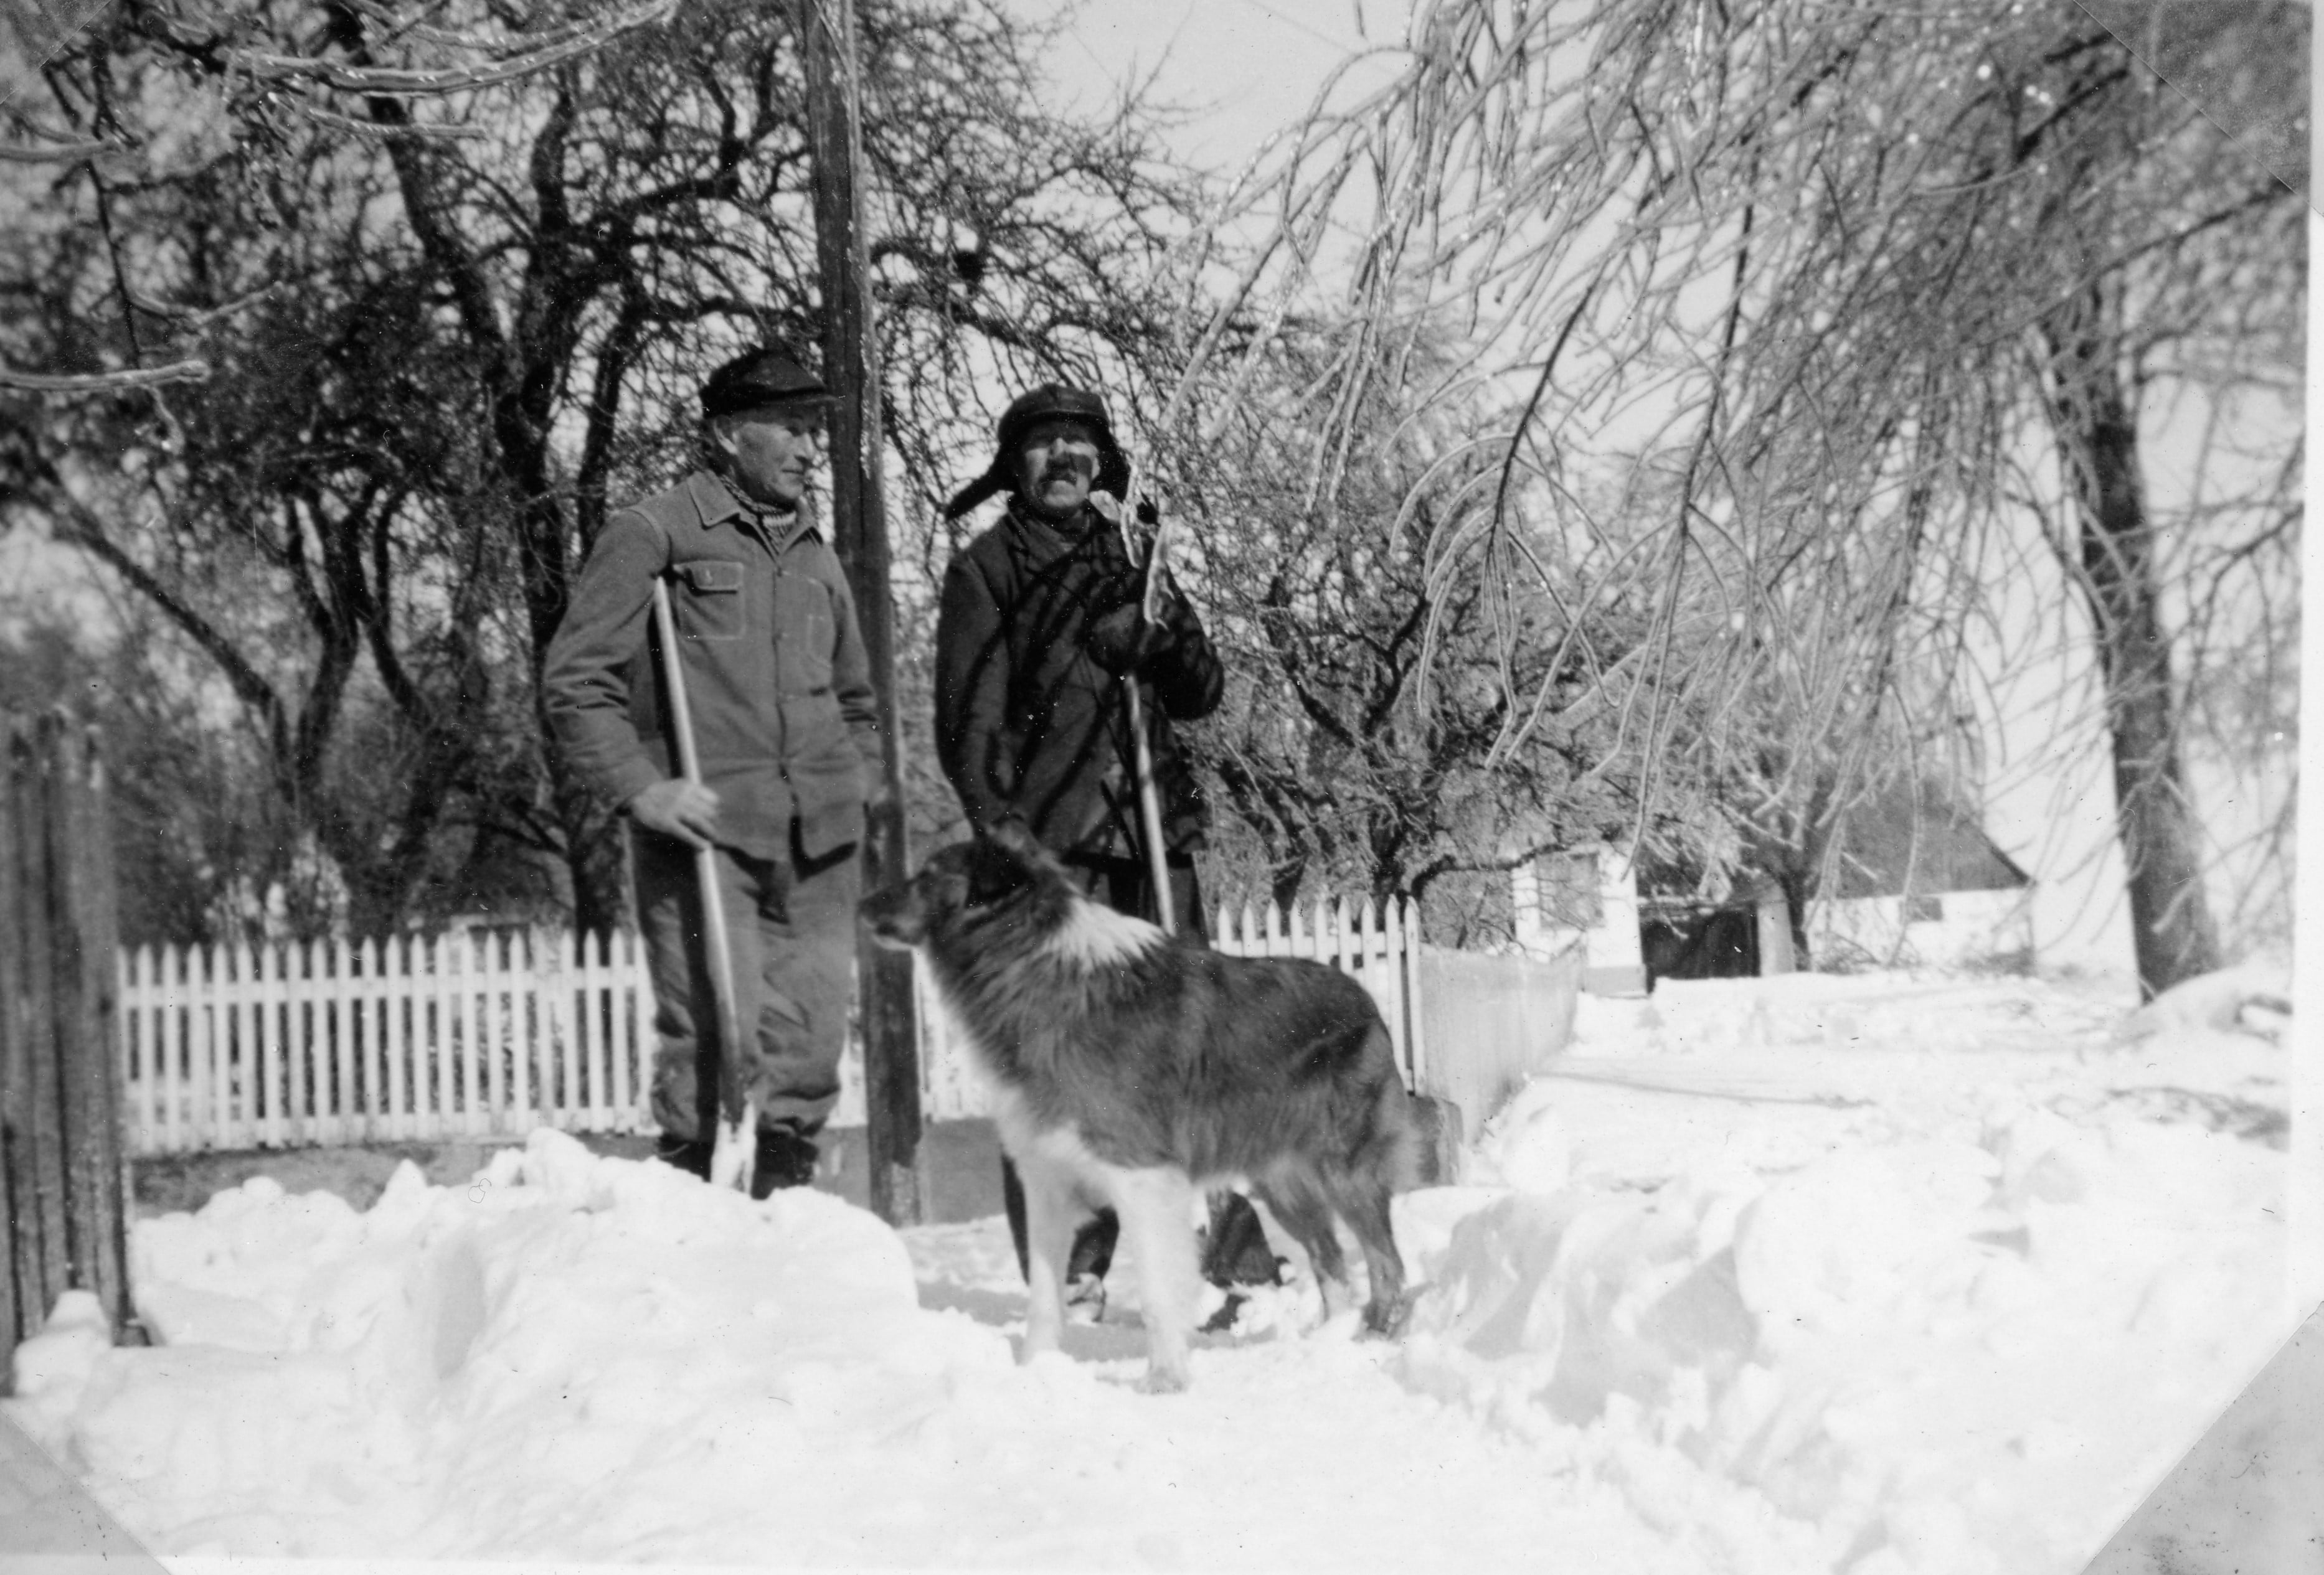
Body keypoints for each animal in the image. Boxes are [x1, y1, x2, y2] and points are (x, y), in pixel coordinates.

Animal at [859, 827, 1413, 1393]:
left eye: (929, 876)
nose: (863, 904)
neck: (1038, 969)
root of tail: (1365, 999)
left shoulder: (1142, 1178)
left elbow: (1157, 1292)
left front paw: (1165, 1379)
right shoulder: (1046, 1180)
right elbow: (1044, 1296)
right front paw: (1036, 1371)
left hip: (1344, 1171)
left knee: (1386, 1264)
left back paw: (1373, 1340)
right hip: (1283, 1182)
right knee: (1331, 1259)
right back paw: (1329, 1344)